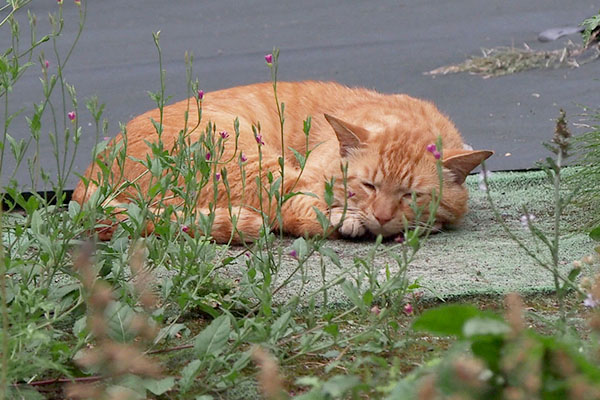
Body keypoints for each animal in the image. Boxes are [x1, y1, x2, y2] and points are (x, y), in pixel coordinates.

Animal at [72, 81, 492, 242]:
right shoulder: (310, 176)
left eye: (411, 195)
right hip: (250, 160)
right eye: (368, 185)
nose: (383, 216)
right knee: (283, 212)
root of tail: (85, 180)